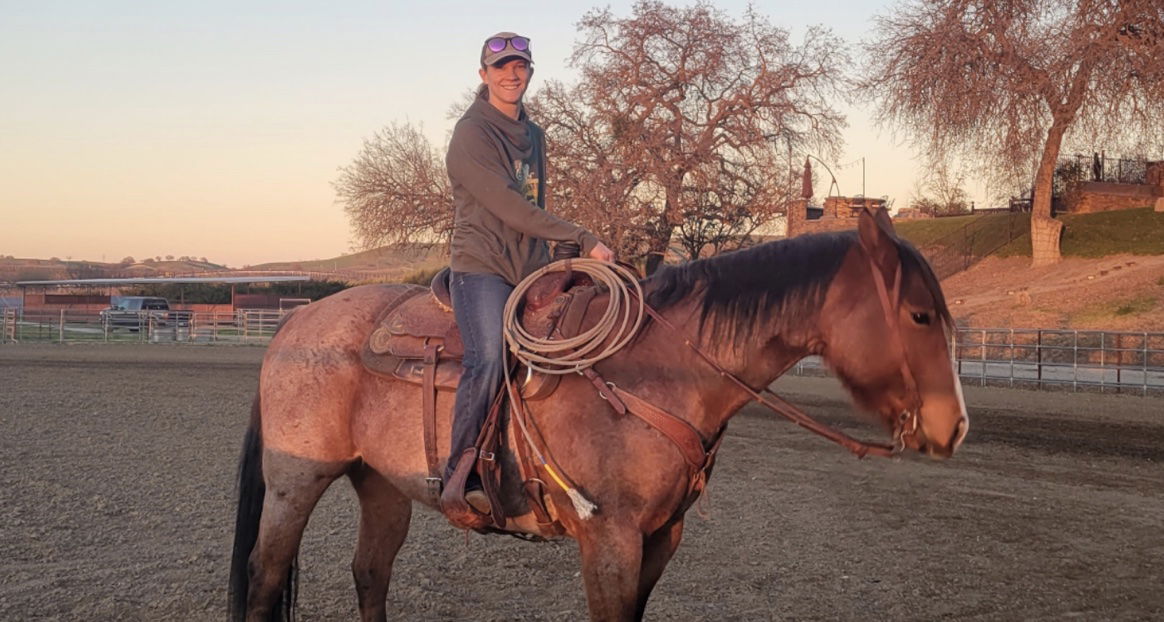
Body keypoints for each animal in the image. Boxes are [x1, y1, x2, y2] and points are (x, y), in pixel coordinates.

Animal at [229, 208, 968, 622]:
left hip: (382, 484)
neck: (657, 373)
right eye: (919, 315)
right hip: (295, 482)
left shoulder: (662, 538)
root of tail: (294, 323)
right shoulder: (609, 538)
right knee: (265, 578)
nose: (954, 427)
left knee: (370, 575)